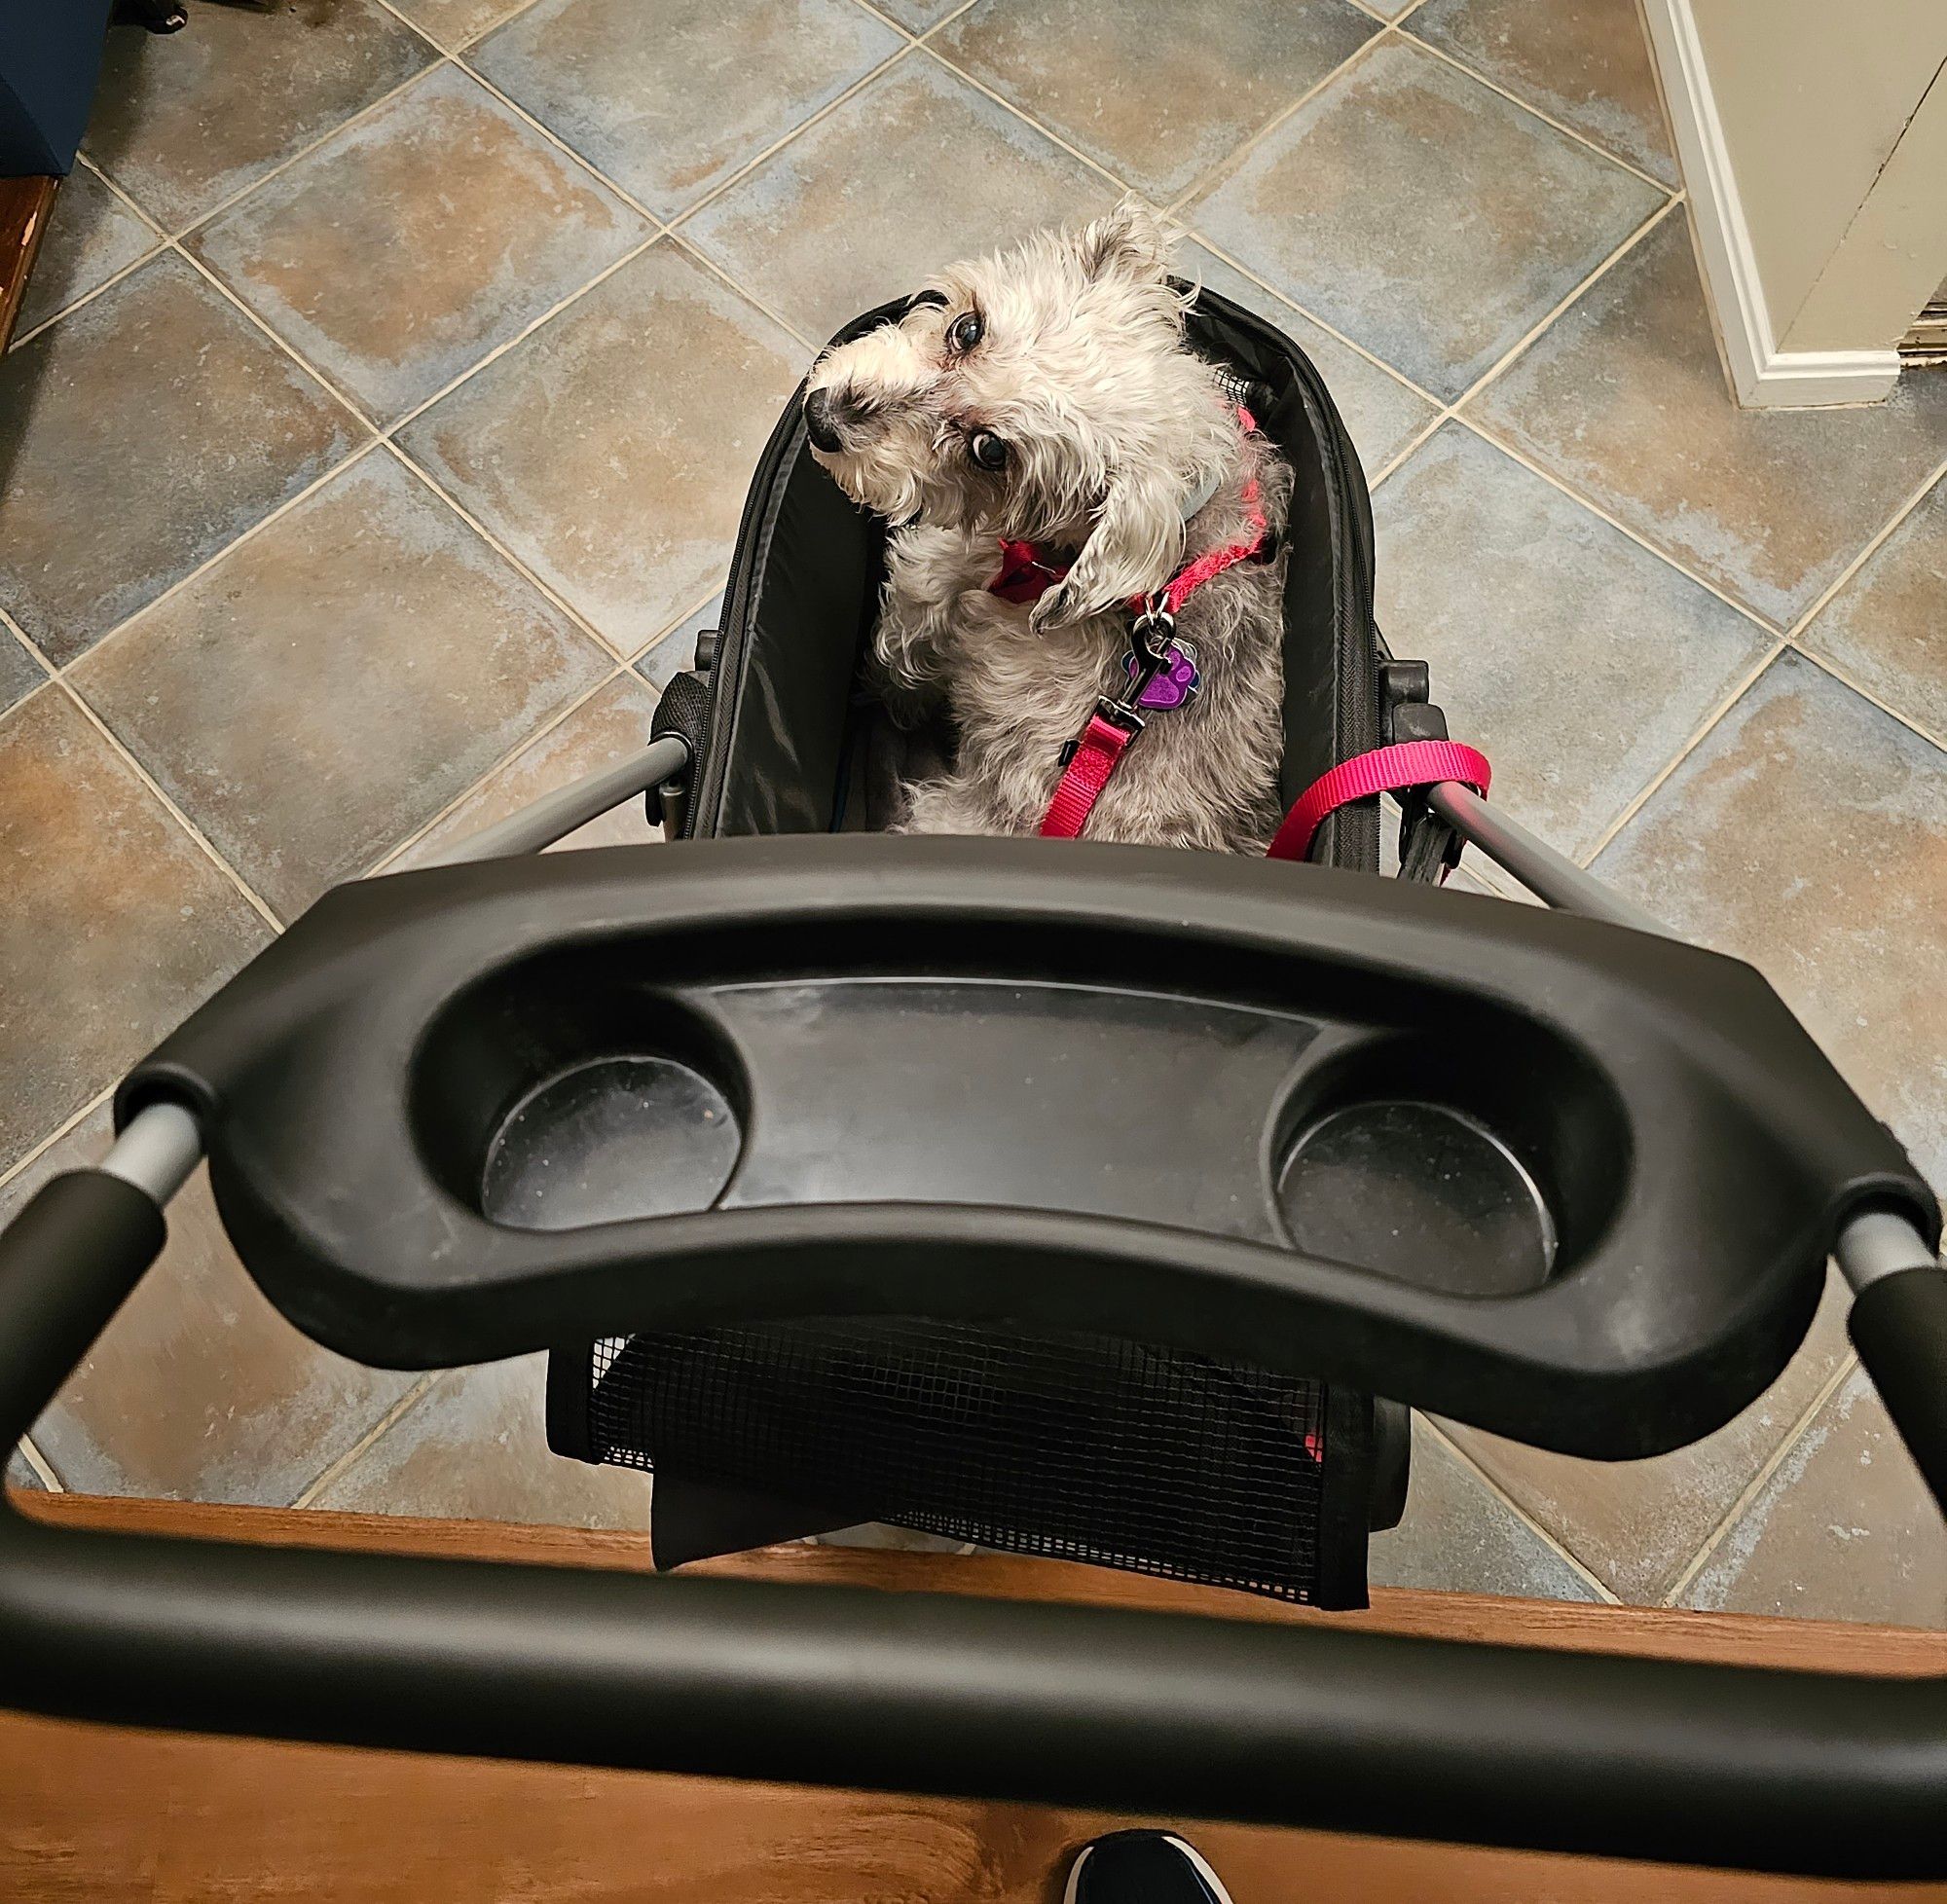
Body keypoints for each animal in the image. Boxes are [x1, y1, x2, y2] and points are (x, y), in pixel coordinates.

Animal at [806, 199, 1293, 845]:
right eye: (967, 329)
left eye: (991, 451)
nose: (820, 418)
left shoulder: (930, 588)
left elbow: (895, 656)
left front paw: (880, 697)